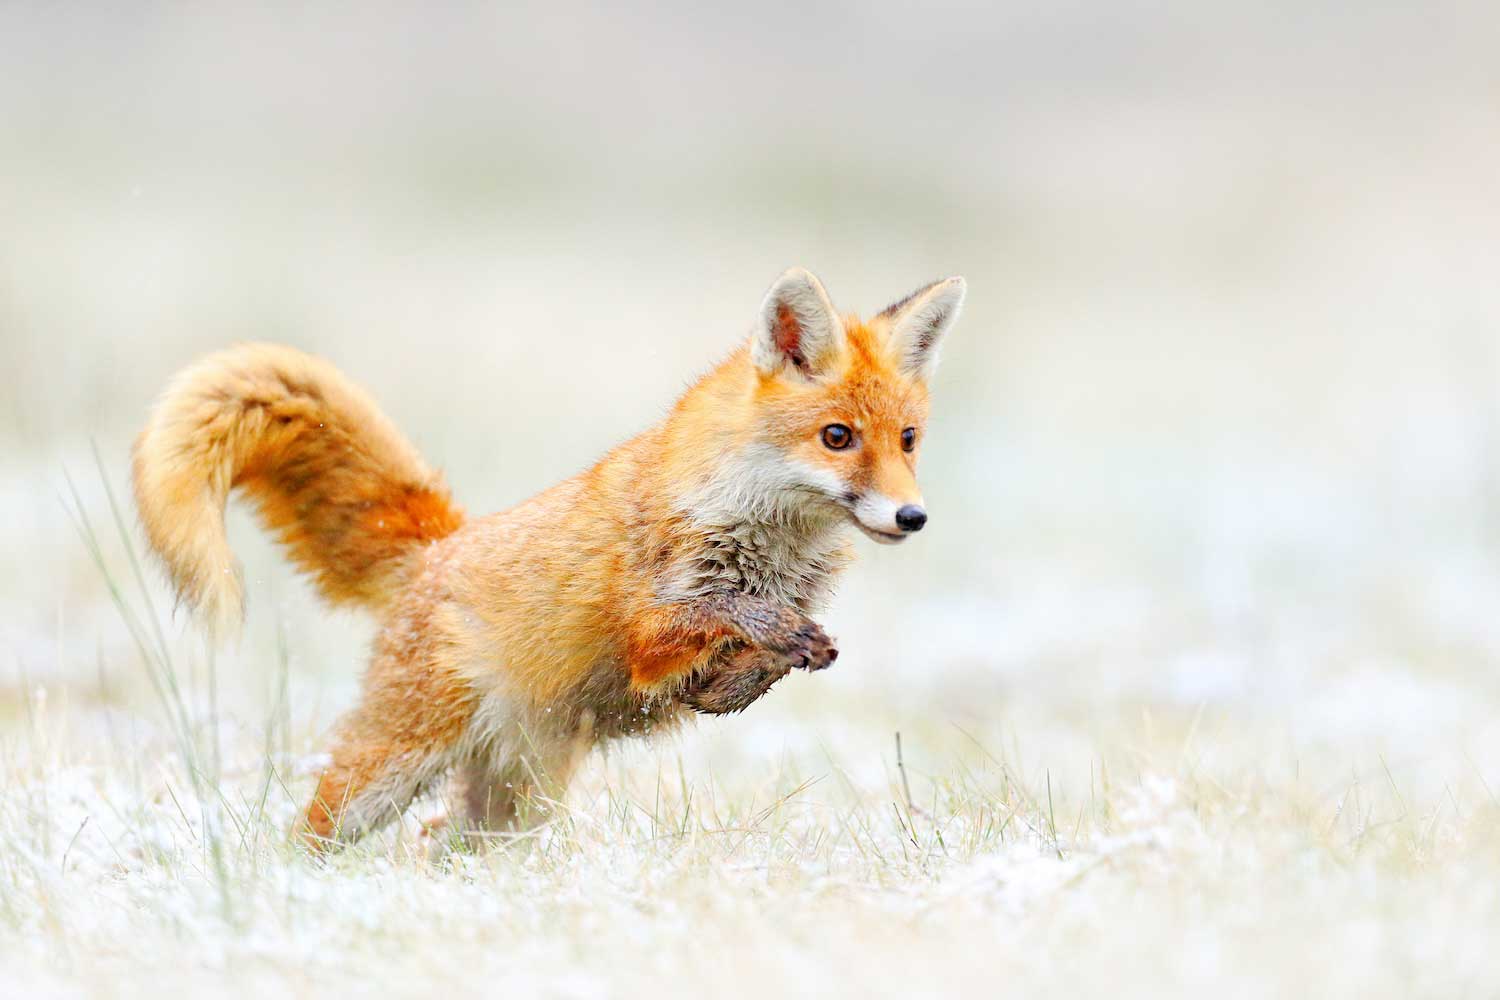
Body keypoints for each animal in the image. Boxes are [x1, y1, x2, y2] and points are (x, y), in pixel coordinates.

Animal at [135, 269, 966, 851]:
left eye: (908, 441)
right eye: (837, 437)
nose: (913, 517)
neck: (766, 538)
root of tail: (439, 546)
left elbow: (749, 670)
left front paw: (781, 655)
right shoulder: (647, 635)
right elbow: (722, 612)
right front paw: (776, 629)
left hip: (517, 797)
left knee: (440, 843)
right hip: (391, 769)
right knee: (312, 833)